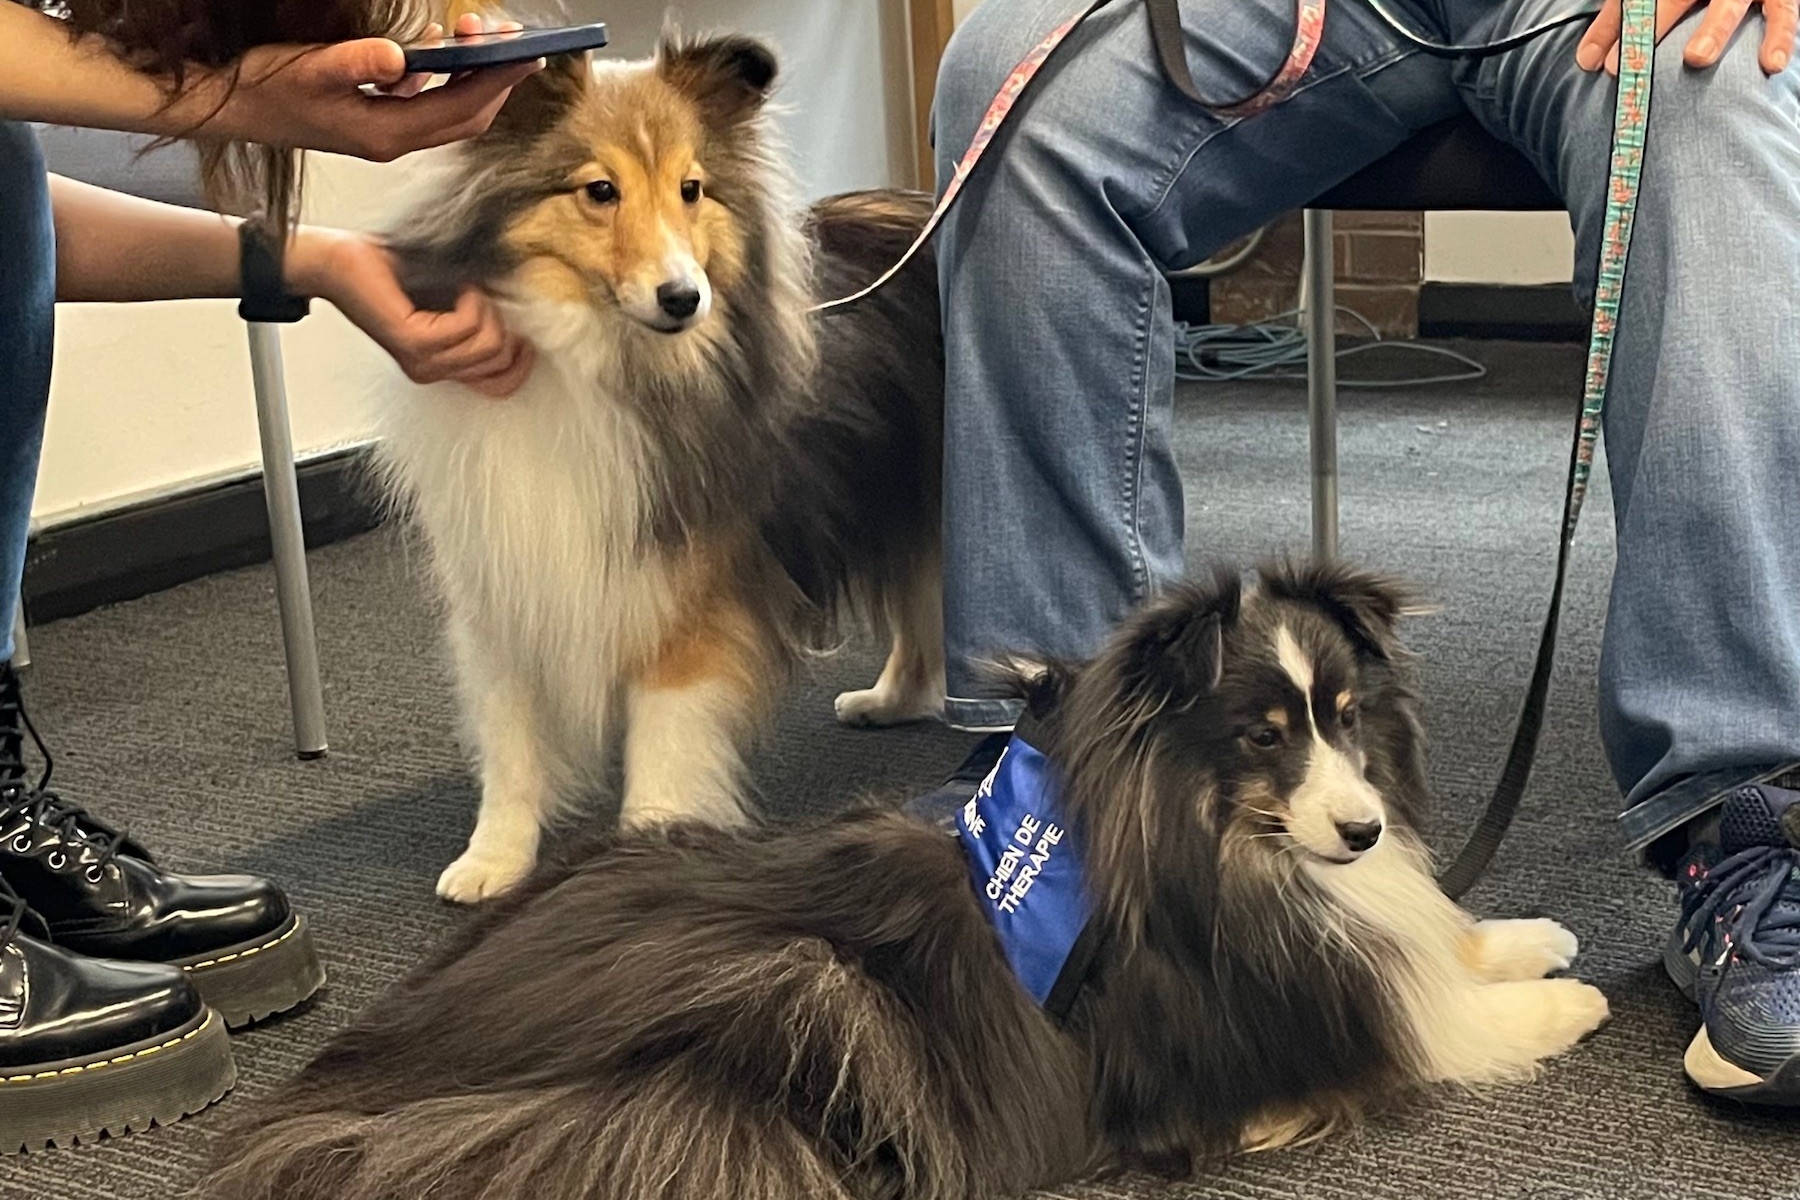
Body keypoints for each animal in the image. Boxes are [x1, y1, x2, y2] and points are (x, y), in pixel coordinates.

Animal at [204, 564, 1612, 1200]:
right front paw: (1559, 1004)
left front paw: (1529, 936)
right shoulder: (1251, 1025)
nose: (1366, 831)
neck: (1214, 854)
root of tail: (356, 1078)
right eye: (1262, 736)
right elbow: (1427, 1021)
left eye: (1346, 717)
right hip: (801, 1001)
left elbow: (1442, 941)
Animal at [374, 32, 950, 899]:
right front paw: (493, 860)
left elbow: (661, 742)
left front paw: (642, 857)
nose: (685, 298)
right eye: (599, 190)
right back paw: (893, 699)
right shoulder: (504, 574)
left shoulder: (687, 595)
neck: (590, 363)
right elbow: (511, 741)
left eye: (692, 189)